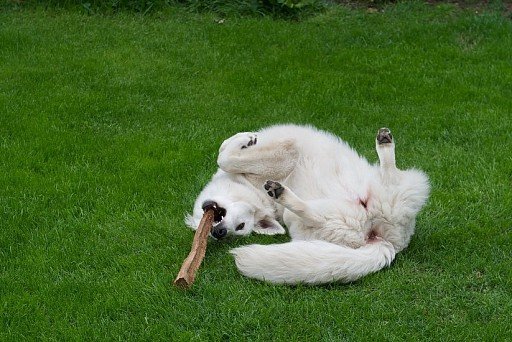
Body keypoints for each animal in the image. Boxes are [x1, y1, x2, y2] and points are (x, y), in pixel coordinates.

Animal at [216, 124, 432, 284]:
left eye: (241, 226)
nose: (219, 232)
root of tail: (389, 243)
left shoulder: (287, 150)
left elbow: (223, 155)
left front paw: (243, 139)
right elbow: (225, 159)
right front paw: (242, 141)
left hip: (399, 185)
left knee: (389, 173)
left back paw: (385, 142)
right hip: (323, 219)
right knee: (311, 213)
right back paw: (281, 194)